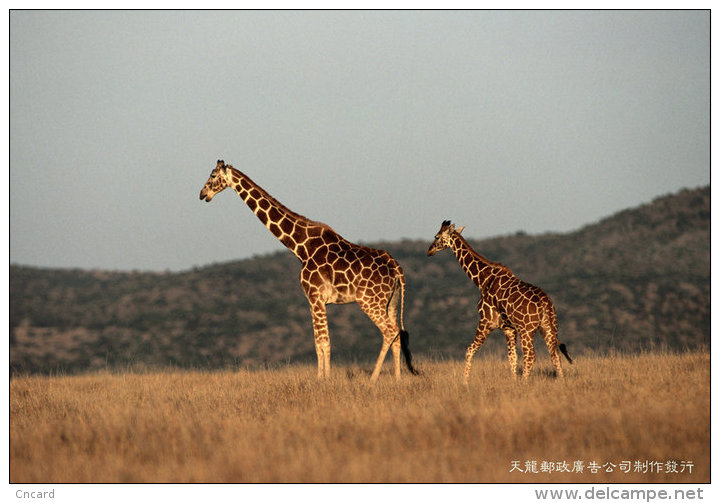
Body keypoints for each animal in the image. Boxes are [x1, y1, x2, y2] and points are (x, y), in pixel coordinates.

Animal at [200, 159, 420, 380]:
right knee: (398, 334)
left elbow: (323, 342)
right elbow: (319, 342)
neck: (301, 247)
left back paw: (373, 378)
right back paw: (397, 378)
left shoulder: (315, 297)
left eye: (212, 176)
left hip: (369, 300)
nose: (202, 194)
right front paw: (321, 378)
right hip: (391, 301)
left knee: (389, 332)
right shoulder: (316, 300)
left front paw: (324, 379)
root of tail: (396, 267)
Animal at [424, 220, 572, 382]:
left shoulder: (486, 321)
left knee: (530, 356)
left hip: (527, 329)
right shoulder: (508, 328)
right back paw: (561, 381)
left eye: (437, 236)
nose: (429, 251)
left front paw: (465, 382)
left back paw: (525, 382)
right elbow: (512, 358)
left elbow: (469, 350)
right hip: (548, 327)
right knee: (554, 355)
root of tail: (545, 303)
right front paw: (514, 382)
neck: (482, 280)